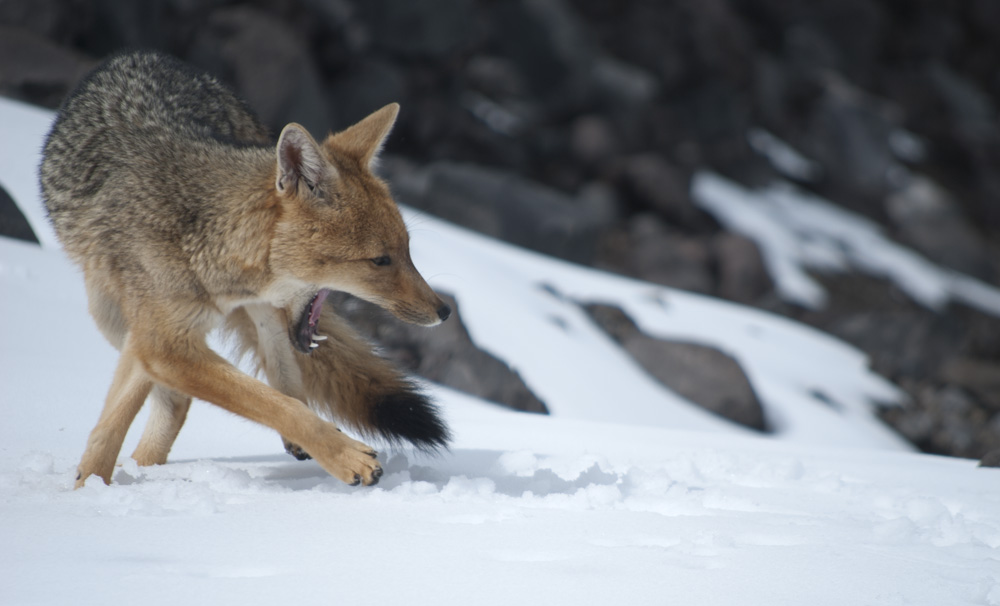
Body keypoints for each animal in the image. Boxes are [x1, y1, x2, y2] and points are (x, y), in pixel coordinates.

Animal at [39, 50, 452, 489]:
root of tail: (143, 56)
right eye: (381, 260)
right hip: (111, 315)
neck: (206, 242)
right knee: (162, 401)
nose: (444, 311)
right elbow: (273, 404)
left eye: (407, 251)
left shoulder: (173, 340)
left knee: (193, 393)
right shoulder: (166, 344)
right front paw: (344, 455)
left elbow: (277, 396)